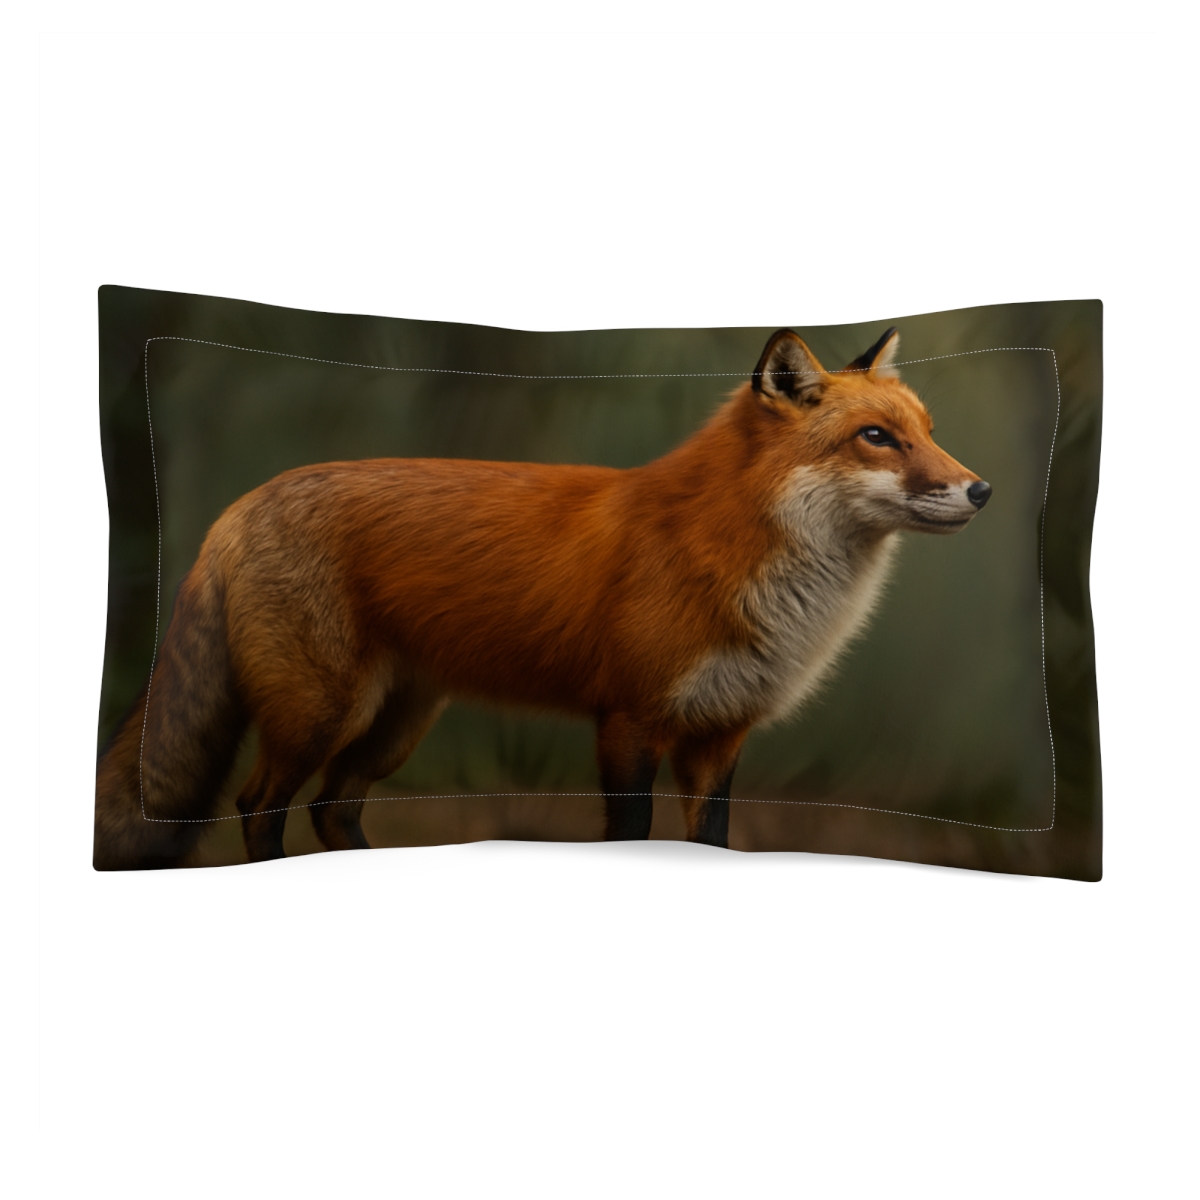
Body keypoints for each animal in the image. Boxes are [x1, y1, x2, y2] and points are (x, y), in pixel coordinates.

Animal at [94, 327, 992, 869]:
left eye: (929, 430)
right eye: (875, 438)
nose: (981, 491)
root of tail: (236, 506)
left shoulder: (720, 735)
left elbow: (709, 838)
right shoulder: (629, 721)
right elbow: (632, 834)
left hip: (392, 727)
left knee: (332, 807)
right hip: (320, 711)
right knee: (259, 804)